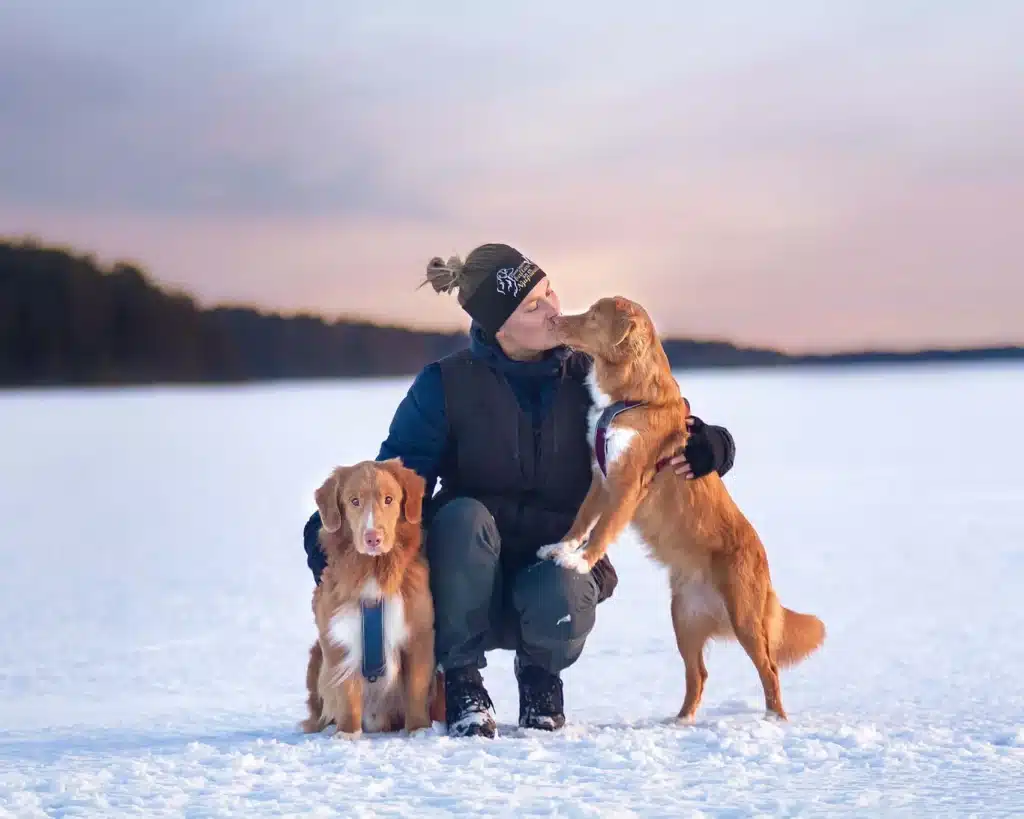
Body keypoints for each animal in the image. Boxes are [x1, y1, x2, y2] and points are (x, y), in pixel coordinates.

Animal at [296, 456, 440, 737]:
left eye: (389, 499)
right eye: (354, 501)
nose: (373, 538)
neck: (373, 570)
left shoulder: (419, 634)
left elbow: (416, 688)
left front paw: (419, 730)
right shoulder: (337, 638)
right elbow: (347, 691)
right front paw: (347, 734)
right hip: (316, 656)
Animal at [536, 296, 823, 720]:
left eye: (592, 316)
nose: (554, 319)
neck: (632, 398)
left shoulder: (627, 484)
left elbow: (602, 529)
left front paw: (578, 561)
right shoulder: (600, 476)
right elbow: (582, 520)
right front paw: (561, 548)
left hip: (745, 616)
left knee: (769, 669)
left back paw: (775, 719)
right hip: (683, 618)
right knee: (698, 674)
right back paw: (681, 721)